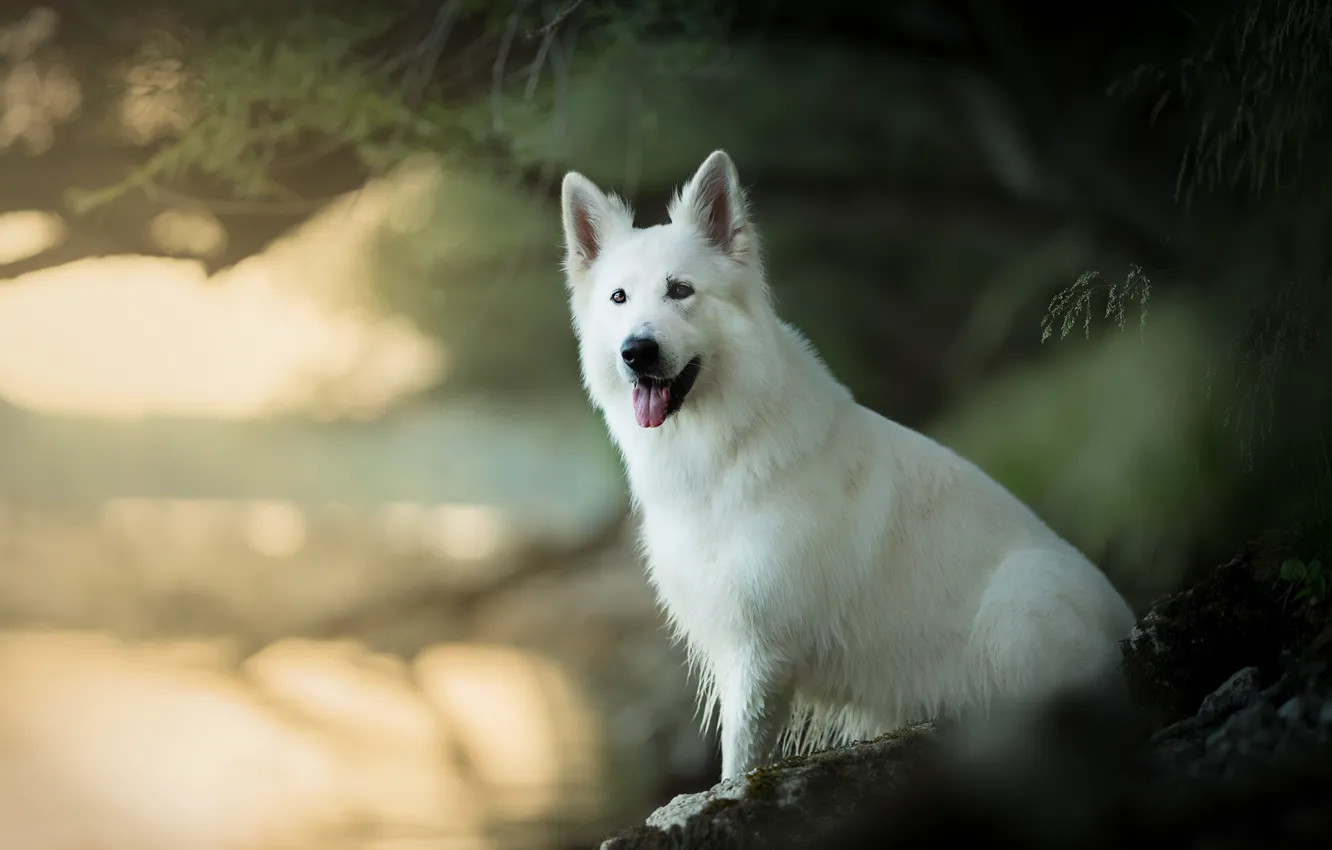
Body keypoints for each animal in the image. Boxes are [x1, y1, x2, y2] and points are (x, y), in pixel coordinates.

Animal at [559, 149, 1134, 783]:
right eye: (619, 298)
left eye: (680, 290)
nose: (636, 352)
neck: (729, 444)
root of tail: (1129, 627)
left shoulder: (761, 655)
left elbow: (739, 763)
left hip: (1020, 603)